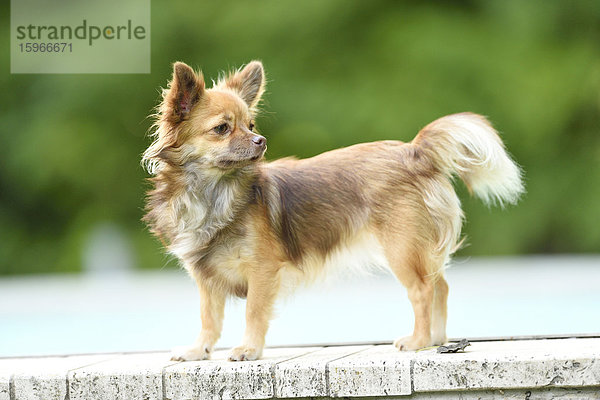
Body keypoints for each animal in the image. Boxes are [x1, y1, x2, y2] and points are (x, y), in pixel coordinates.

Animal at [143, 60, 524, 362]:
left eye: (251, 126)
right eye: (222, 129)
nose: (260, 141)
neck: (213, 192)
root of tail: (414, 151)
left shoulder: (262, 270)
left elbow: (253, 312)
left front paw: (249, 349)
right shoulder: (206, 278)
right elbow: (209, 319)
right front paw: (198, 350)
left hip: (401, 248)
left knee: (423, 290)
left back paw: (417, 340)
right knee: (440, 285)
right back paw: (435, 339)